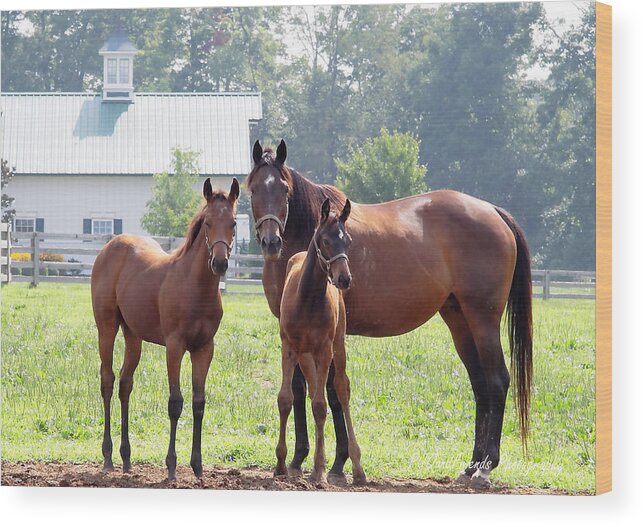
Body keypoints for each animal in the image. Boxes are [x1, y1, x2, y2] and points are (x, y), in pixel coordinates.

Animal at [90, 178, 239, 482]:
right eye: (207, 222)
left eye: (233, 223)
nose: (219, 263)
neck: (195, 288)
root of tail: (110, 246)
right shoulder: (174, 346)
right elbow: (175, 403)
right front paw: (171, 466)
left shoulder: (204, 348)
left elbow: (198, 402)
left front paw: (197, 466)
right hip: (107, 328)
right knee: (108, 381)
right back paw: (108, 457)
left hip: (133, 335)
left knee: (126, 384)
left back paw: (126, 459)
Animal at [276, 199, 368, 486]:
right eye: (326, 241)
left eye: (347, 240)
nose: (344, 278)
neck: (307, 299)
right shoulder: (288, 347)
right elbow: (286, 398)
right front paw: (281, 464)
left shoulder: (325, 349)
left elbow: (321, 404)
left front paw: (318, 470)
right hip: (306, 355)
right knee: (315, 389)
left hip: (336, 347)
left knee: (341, 389)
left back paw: (356, 468)